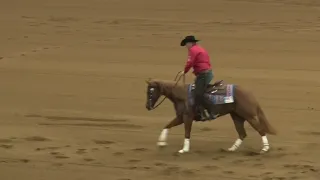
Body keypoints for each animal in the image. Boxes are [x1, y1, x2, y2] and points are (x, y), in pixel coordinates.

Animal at [146, 78, 278, 154]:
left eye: (151, 91)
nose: (147, 106)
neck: (182, 95)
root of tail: (249, 93)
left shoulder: (187, 117)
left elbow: (187, 132)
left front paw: (184, 149)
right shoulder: (180, 117)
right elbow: (167, 126)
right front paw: (161, 143)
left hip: (249, 116)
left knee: (260, 130)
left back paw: (265, 149)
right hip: (236, 116)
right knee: (242, 133)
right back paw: (232, 149)